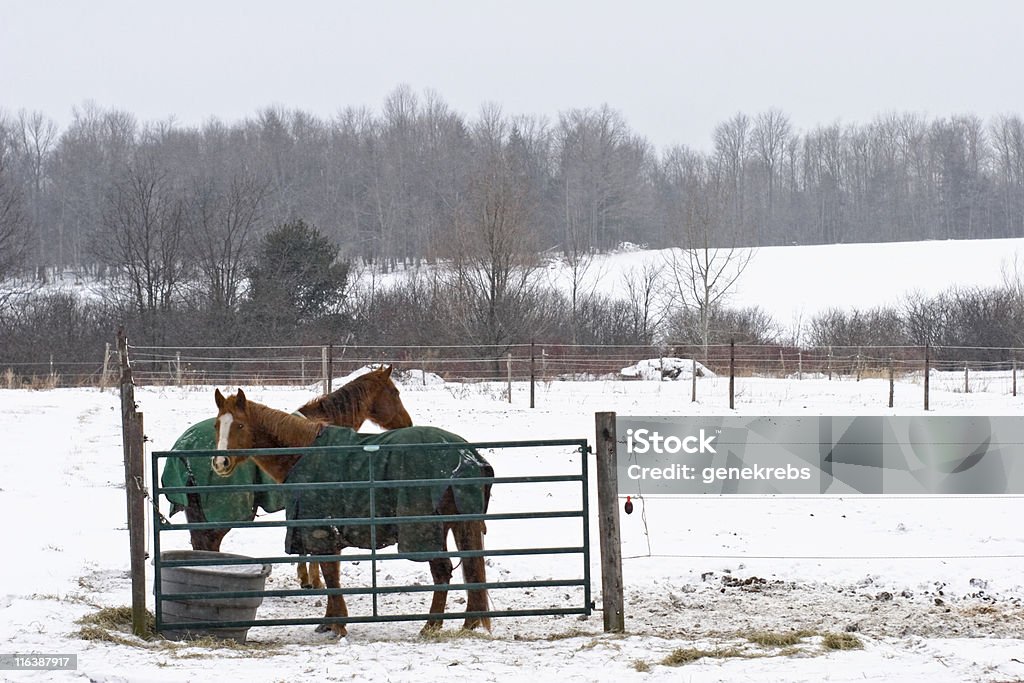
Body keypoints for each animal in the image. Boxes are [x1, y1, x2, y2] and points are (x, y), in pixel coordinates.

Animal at [209, 389, 489, 643]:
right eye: (217, 425)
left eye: (240, 425)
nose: (220, 463)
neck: (304, 452)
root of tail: (467, 455)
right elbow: (330, 574)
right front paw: (329, 622)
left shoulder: (321, 533)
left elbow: (331, 577)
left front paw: (339, 625)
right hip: (458, 525)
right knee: (471, 569)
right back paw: (469, 622)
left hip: (425, 532)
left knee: (442, 572)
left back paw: (431, 626)